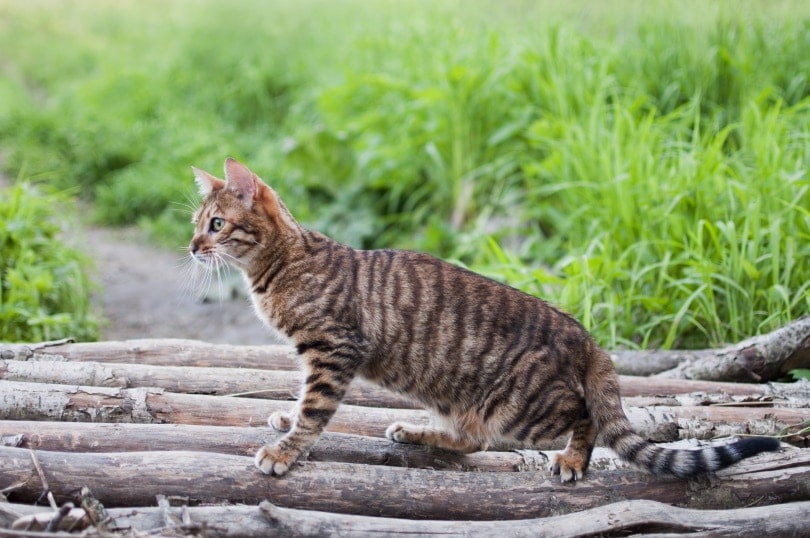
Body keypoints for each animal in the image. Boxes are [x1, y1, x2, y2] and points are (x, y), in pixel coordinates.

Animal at [188, 158, 776, 478]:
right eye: (198, 223)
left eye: (216, 224)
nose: (192, 247)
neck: (281, 265)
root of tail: (584, 336)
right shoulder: (318, 356)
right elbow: (301, 401)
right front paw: (284, 422)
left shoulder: (334, 350)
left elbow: (314, 410)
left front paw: (284, 451)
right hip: (459, 397)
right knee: (474, 441)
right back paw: (416, 432)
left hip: (522, 407)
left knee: (582, 416)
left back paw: (571, 459)